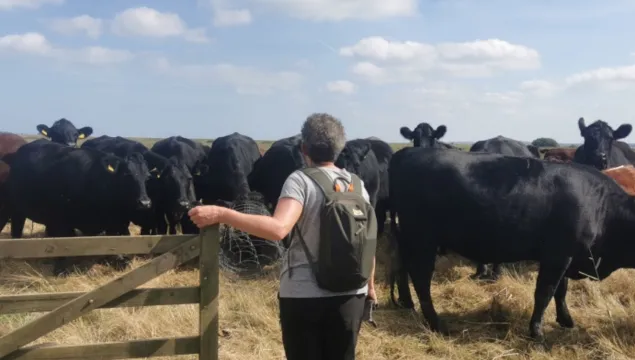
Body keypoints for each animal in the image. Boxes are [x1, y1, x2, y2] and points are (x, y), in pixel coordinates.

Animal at [1, 139, 152, 274]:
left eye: (147, 177)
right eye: (127, 175)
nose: (144, 202)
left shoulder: (115, 223)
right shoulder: (61, 221)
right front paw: (61, 270)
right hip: (15, 209)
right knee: (16, 230)